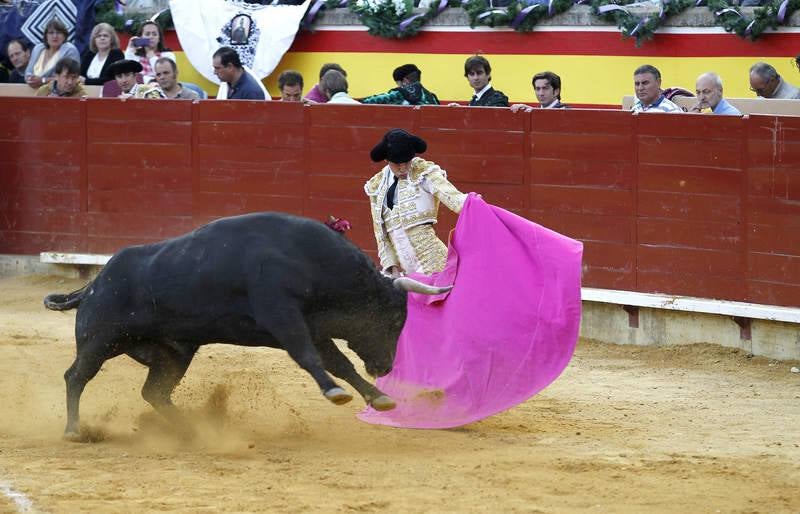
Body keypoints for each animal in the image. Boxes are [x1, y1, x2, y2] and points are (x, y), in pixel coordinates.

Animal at [45, 210, 450, 438]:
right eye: (395, 318)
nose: (386, 366)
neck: (310, 261)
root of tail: (93, 285)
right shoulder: (284, 317)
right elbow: (309, 357)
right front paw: (336, 393)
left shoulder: (315, 327)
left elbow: (340, 363)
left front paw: (378, 397)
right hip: (100, 340)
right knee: (75, 376)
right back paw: (73, 430)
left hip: (173, 353)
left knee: (155, 393)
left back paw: (191, 431)